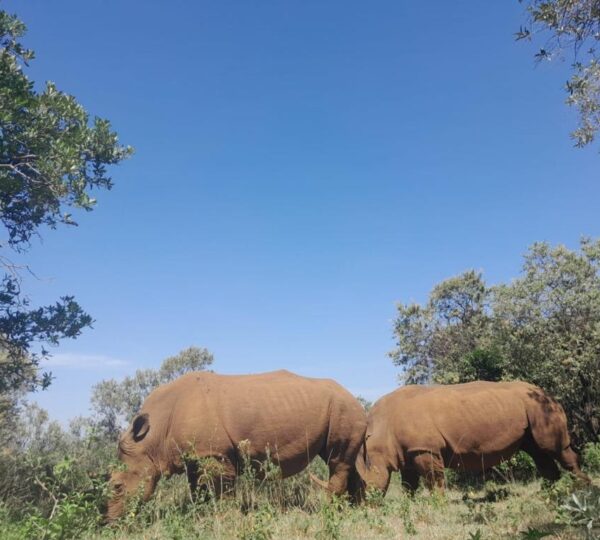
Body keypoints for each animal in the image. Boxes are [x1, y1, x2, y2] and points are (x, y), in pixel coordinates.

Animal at [356, 380, 592, 494]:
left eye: (366, 485)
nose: (367, 504)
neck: (380, 430)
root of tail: (548, 392)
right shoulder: (408, 451)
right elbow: (409, 486)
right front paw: (412, 507)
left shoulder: (425, 448)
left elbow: (434, 481)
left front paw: (437, 504)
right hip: (531, 409)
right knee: (537, 451)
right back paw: (551, 491)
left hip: (542, 407)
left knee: (553, 448)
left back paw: (582, 488)